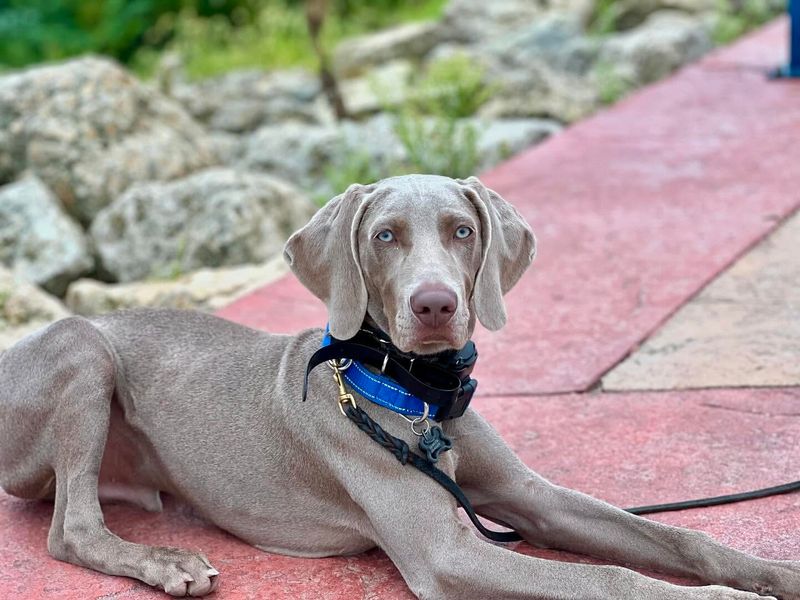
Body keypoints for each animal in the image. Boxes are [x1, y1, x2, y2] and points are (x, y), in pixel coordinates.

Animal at [1, 175, 800, 600]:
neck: (419, 396)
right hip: (80, 349)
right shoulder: (445, 554)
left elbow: (678, 535)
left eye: (461, 230)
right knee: (71, 527)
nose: (436, 306)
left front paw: (773, 573)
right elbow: (610, 579)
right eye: (384, 236)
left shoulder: (533, 500)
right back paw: (168, 564)